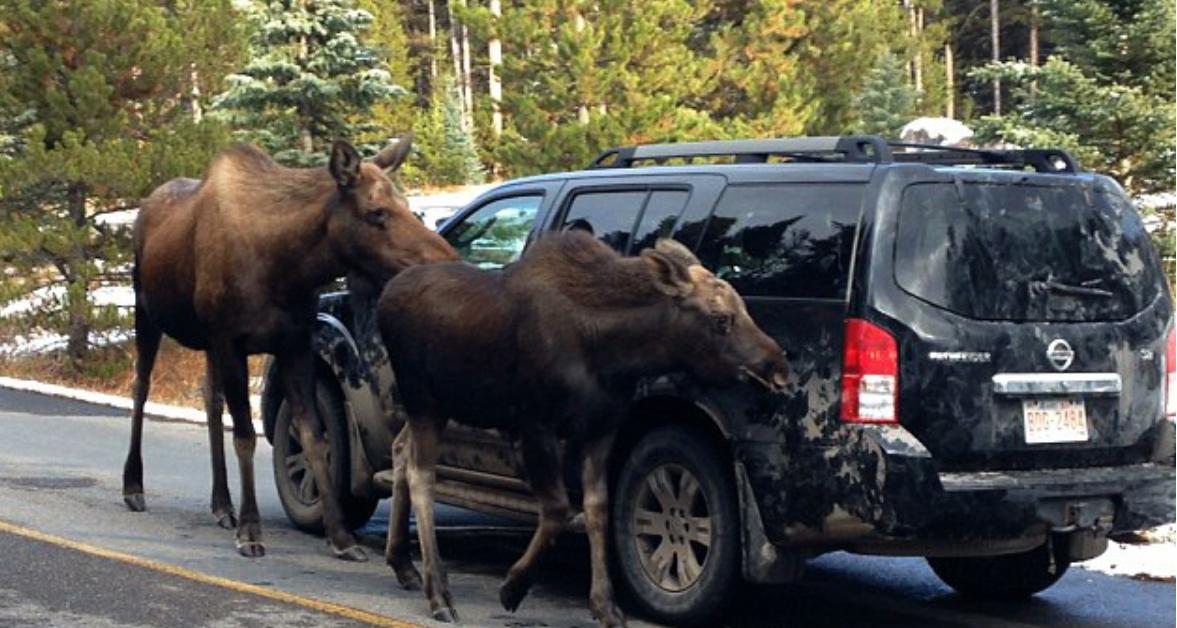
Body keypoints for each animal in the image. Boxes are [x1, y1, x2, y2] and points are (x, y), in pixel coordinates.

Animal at [121, 136, 456, 562]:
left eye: (409, 205)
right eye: (376, 212)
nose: (447, 260)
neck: (288, 267)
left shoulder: (293, 342)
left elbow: (313, 436)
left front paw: (341, 537)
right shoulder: (232, 341)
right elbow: (245, 436)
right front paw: (251, 531)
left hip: (207, 341)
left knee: (210, 400)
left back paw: (222, 504)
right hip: (145, 309)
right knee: (141, 387)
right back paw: (134, 486)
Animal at [381, 232, 786, 628]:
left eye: (744, 307)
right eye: (721, 319)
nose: (778, 366)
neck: (612, 351)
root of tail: (384, 297)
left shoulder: (601, 428)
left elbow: (596, 508)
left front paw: (606, 605)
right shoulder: (537, 423)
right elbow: (558, 509)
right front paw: (513, 586)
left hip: (440, 408)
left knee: (401, 454)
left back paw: (406, 566)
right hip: (423, 401)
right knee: (421, 476)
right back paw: (439, 593)